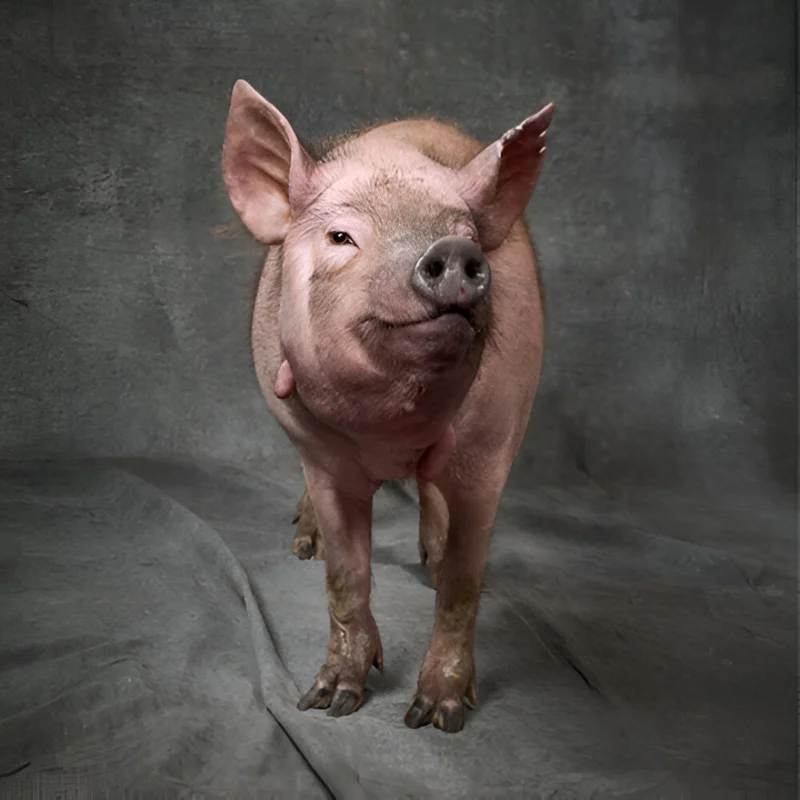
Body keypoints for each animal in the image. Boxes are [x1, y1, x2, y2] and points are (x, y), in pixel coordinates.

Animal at [221, 80, 553, 733]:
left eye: (467, 233)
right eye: (340, 237)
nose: (452, 249)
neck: (389, 430)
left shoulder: (492, 448)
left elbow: (463, 584)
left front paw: (435, 717)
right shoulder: (321, 455)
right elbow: (345, 578)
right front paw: (328, 702)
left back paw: (429, 556)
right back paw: (303, 544)